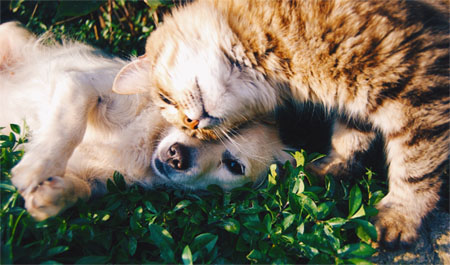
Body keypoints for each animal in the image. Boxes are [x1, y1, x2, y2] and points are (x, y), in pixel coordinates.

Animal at [0, 21, 292, 219]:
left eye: (234, 166)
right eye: (191, 122)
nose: (177, 156)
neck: (147, 143)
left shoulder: (100, 180)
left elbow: (82, 190)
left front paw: (52, 195)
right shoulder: (81, 84)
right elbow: (69, 126)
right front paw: (37, 167)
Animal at [112, 0, 450, 248]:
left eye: (165, 99)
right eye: (186, 126)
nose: (192, 123)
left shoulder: (417, 86)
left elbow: (416, 168)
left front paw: (399, 217)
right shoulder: (358, 100)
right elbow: (349, 139)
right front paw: (329, 169)